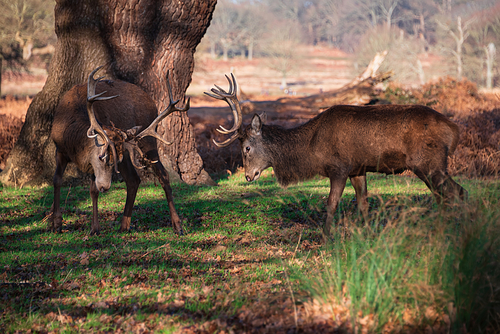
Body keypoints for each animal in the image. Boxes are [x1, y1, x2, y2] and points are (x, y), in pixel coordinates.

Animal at [50, 67, 188, 235]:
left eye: (113, 159)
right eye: (101, 156)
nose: (105, 187)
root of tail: (152, 103)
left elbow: (93, 190)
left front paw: (95, 228)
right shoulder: (59, 149)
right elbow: (57, 180)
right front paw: (56, 223)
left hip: (148, 141)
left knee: (163, 174)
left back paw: (178, 225)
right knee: (133, 179)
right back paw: (124, 225)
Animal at [206, 73, 464, 240]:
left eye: (247, 148)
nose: (248, 176)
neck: (311, 149)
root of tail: (454, 130)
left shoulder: (339, 167)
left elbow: (331, 203)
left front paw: (326, 236)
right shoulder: (357, 169)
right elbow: (363, 203)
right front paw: (366, 233)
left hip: (428, 162)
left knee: (456, 191)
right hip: (430, 166)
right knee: (443, 194)